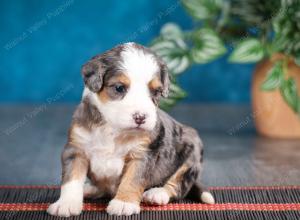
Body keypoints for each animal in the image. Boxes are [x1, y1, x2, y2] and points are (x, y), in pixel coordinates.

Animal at [48, 42, 214, 217]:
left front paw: (124, 203)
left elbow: (132, 179)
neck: (112, 128)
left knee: (177, 184)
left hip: (192, 153)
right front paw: (66, 204)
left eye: (156, 92)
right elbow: (71, 179)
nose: (141, 117)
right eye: (119, 88)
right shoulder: (76, 149)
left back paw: (157, 193)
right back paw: (89, 189)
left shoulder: (142, 154)